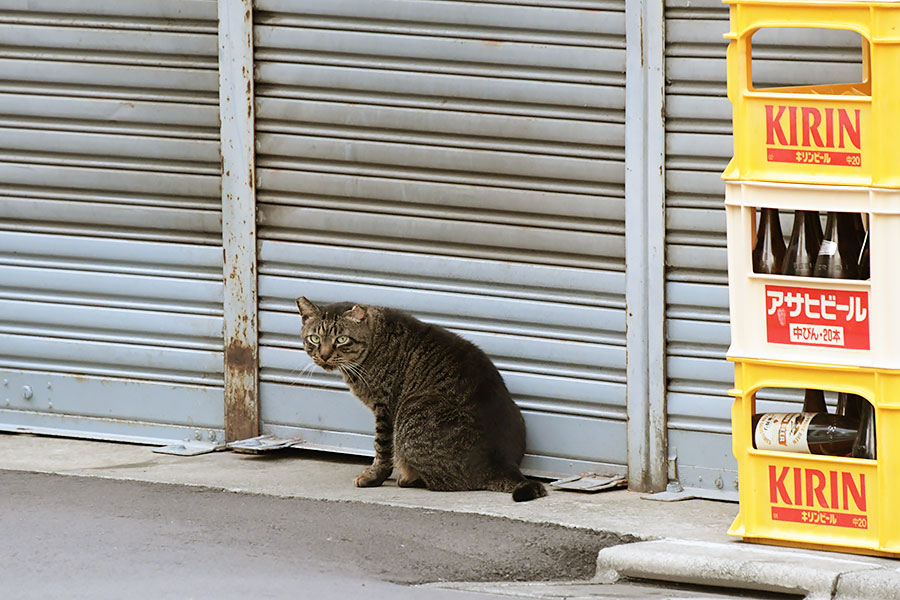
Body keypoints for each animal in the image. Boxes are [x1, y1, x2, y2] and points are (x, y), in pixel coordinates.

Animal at [298, 298, 544, 502]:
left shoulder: (384, 409)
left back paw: (408, 478)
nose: (324, 355)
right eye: (315, 338)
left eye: (341, 339)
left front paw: (372, 477)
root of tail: (501, 462)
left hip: (409, 414)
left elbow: (381, 450)